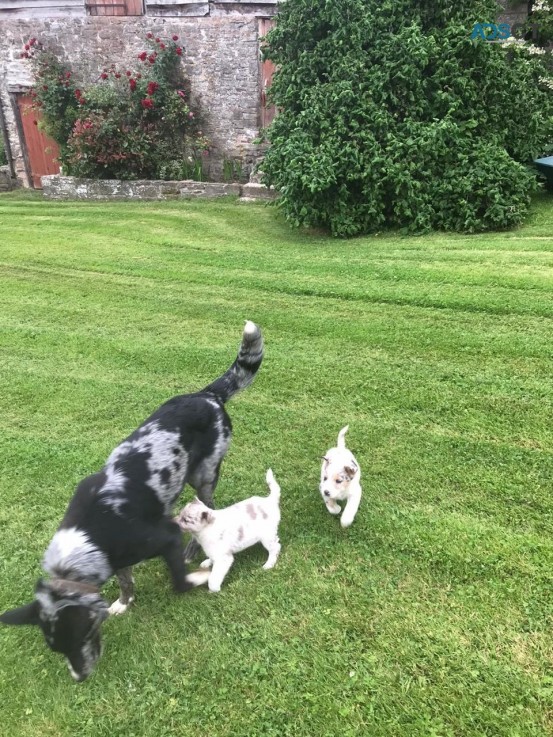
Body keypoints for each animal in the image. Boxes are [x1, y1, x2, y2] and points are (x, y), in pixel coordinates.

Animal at [0, 320, 264, 680]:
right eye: (58, 648)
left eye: (82, 635)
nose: (80, 678)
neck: (90, 534)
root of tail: (207, 396)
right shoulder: (118, 558)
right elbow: (126, 582)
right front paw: (124, 603)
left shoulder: (166, 537)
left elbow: (179, 581)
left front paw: (196, 578)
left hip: (204, 475)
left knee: (207, 508)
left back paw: (195, 548)